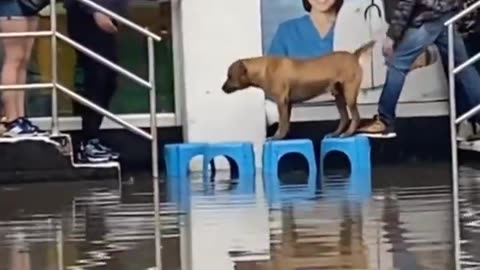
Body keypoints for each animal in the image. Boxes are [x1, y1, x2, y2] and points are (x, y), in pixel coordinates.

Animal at [221, 41, 376, 140]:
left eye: (229, 76)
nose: (222, 88)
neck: (263, 69)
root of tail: (354, 55)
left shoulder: (281, 102)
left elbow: (282, 122)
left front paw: (277, 136)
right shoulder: (287, 103)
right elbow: (286, 122)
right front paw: (284, 136)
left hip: (349, 94)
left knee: (355, 117)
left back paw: (348, 134)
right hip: (338, 95)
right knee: (344, 118)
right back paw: (336, 133)